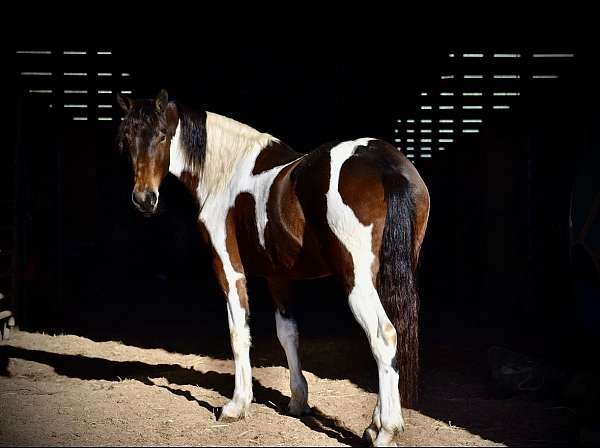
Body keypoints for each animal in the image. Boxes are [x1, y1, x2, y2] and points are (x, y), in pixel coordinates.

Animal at [115, 89, 428, 446]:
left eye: (163, 135)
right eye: (126, 139)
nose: (144, 199)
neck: (226, 171)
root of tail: (385, 165)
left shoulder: (229, 268)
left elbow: (238, 331)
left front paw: (237, 405)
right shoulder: (278, 276)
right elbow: (287, 334)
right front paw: (298, 401)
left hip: (356, 281)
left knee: (383, 336)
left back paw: (386, 430)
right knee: (392, 336)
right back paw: (374, 425)